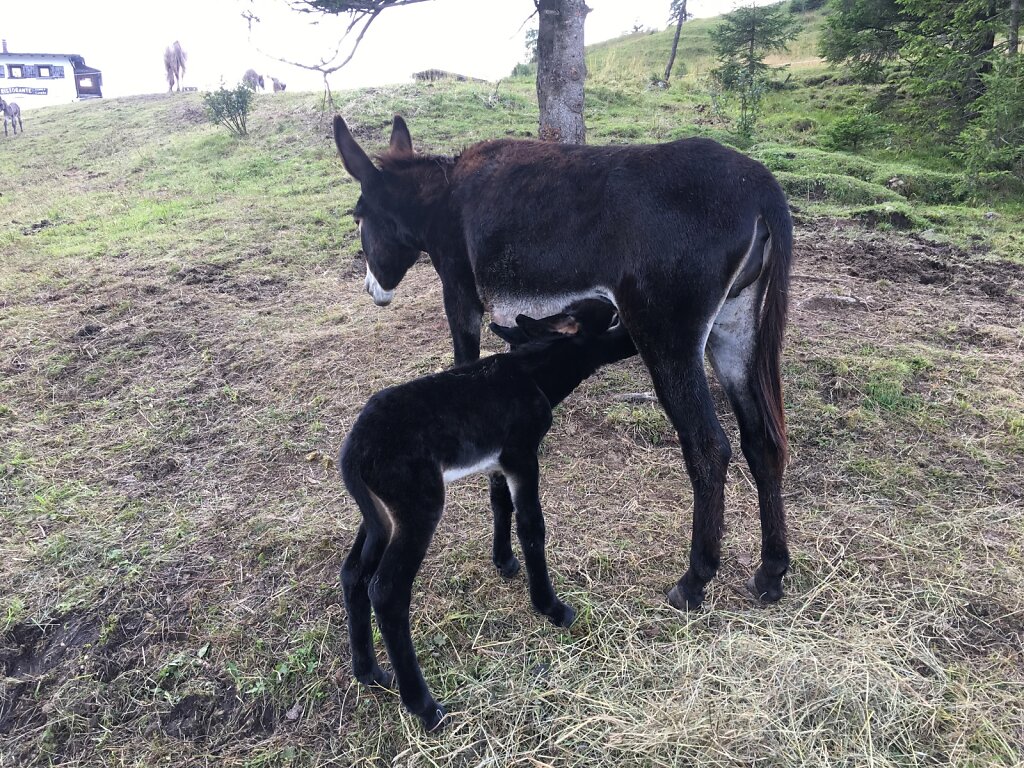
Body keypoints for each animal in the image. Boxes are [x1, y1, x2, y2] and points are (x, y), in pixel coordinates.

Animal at [339, 296, 634, 729]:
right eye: (609, 316)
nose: (638, 334)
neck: (534, 375)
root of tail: (354, 452)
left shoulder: (497, 462)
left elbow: (501, 504)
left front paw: (504, 562)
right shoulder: (522, 455)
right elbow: (532, 525)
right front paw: (552, 608)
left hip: (381, 516)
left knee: (353, 573)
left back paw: (370, 673)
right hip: (418, 506)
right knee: (387, 589)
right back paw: (425, 707)